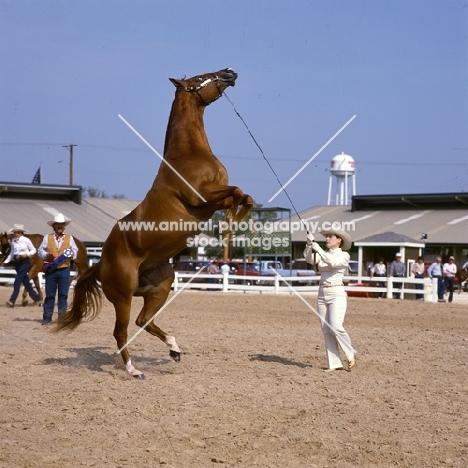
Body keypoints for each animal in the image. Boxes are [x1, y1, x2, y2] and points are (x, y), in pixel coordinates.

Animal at [57, 67, 254, 378]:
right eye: (200, 77)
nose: (229, 72)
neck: (187, 155)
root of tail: (101, 263)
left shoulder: (214, 201)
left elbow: (245, 196)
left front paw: (232, 223)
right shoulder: (203, 197)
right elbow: (237, 192)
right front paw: (228, 225)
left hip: (160, 286)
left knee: (143, 321)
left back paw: (174, 349)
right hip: (123, 296)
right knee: (122, 332)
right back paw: (134, 370)